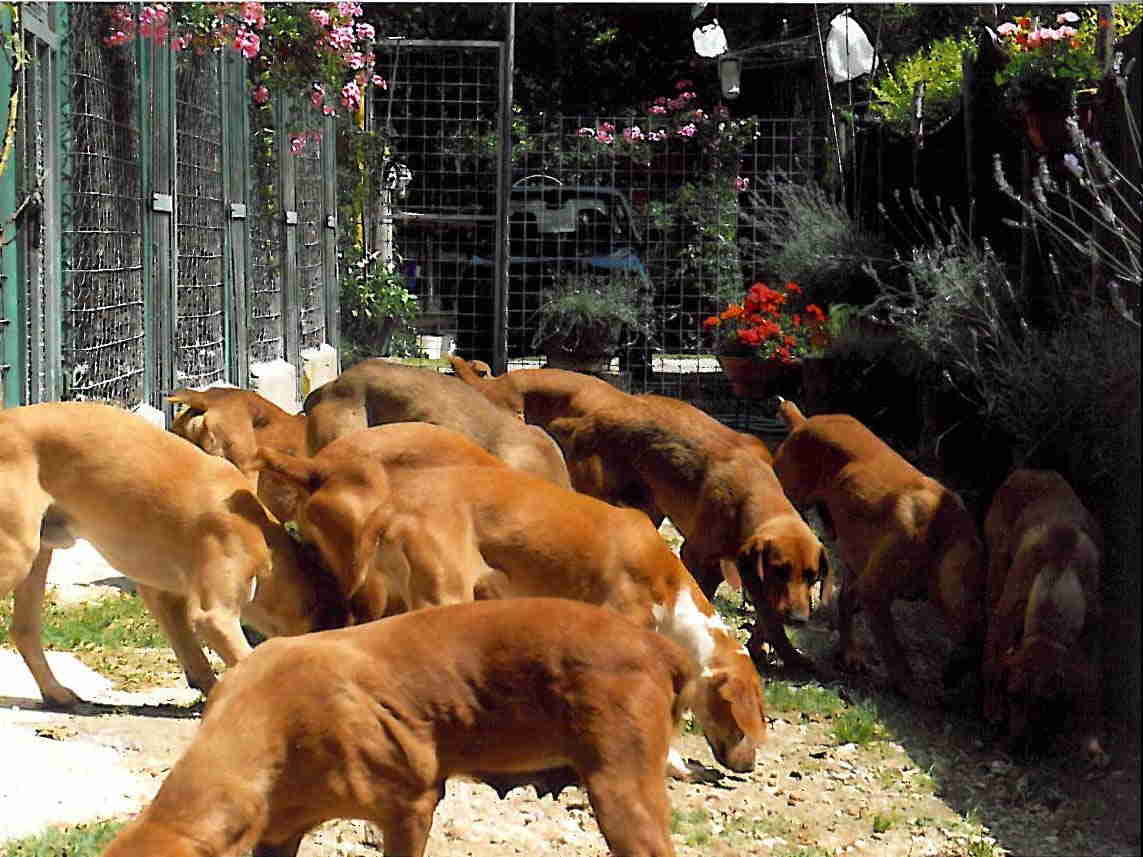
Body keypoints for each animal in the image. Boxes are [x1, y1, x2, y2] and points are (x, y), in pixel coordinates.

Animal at [0, 402, 347, 708]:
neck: (264, 538)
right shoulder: (214, 615)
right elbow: (244, 660)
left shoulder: (163, 596)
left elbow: (195, 657)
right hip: (17, 556)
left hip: (37, 557)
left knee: (24, 631)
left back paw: (56, 693)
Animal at [546, 393, 827, 673]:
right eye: (780, 571)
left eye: (812, 577)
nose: (799, 619)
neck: (752, 492)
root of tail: (583, 421)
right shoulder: (696, 555)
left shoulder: (744, 572)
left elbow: (770, 620)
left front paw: (787, 656)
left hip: (649, 509)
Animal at [771, 399, 986, 700]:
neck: (944, 541)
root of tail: (803, 422)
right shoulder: (875, 592)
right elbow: (895, 651)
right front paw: (909, 686)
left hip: (853, 557)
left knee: (843, 601)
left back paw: (850, 653)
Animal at [982, 469, 1107, 765]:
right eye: (1012, 695)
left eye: (1043, 704)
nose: (1015, 748)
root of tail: (1030, 471)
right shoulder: (1003, 618)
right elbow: (991, 662)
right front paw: (993, 708)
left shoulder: (1093, 637)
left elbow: (1093, 686)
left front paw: (1091, 743)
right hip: (997, 564)